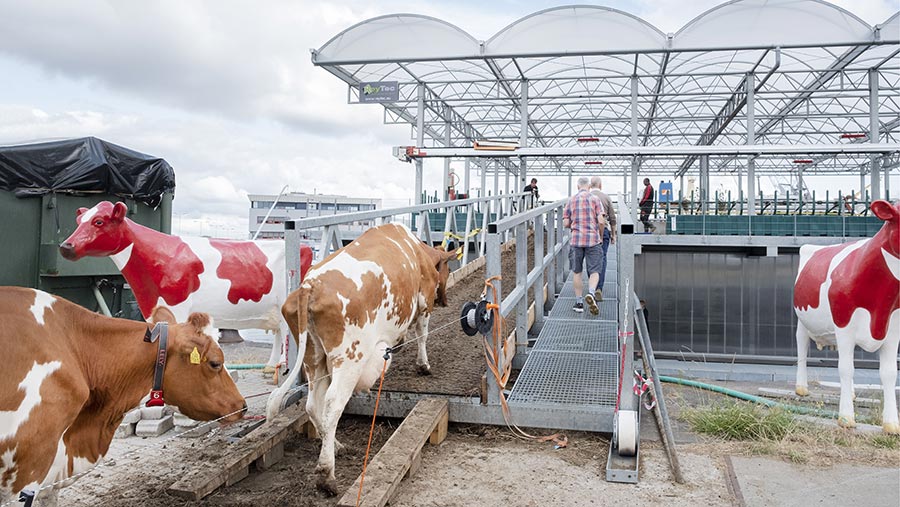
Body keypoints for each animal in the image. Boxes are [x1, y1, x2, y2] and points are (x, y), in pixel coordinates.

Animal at [59, 201, 312, 374]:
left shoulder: (179, 307)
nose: (66, 246)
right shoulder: (153, 309)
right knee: (278, 331)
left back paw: (282, 366)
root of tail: (304, 246)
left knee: (287, 332)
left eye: (98, 222)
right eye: (79, 222)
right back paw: (270, 366)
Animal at [264, 224, 454, 494]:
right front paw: (423, 365)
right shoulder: (424, 300)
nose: (445, 300)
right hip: (349, 359)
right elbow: (422, 334)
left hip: (314, 357)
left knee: (313, 404)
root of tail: (310, 286)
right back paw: (327, 474)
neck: (418, 251)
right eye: (447, 268)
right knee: (333, 403)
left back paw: (335, 445)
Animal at [796, 198, 900, 432]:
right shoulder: (844, 324)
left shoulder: (894, 329)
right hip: (802, 322)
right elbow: (846, 369)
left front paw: (891, 424)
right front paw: (845, 418)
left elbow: (889, 373)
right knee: (802, 350)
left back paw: (851, 393)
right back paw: (801, 388)